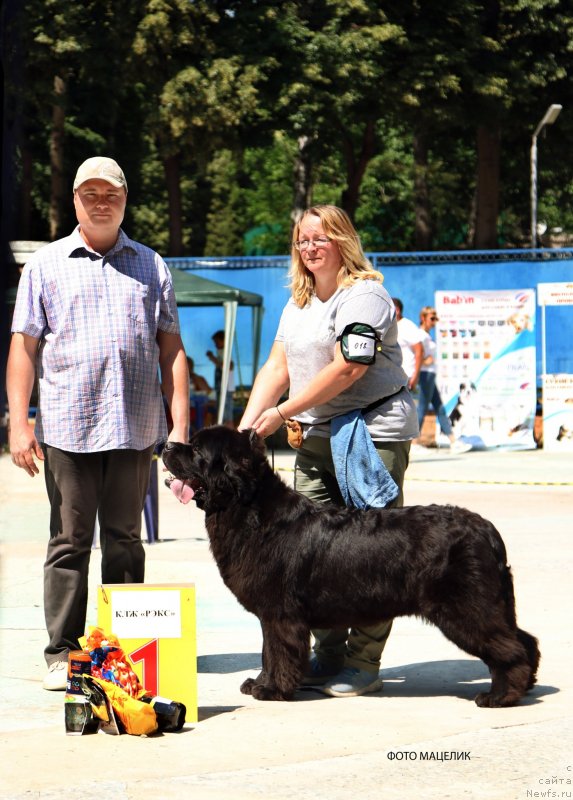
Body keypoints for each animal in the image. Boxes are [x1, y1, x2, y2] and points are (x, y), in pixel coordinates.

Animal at [163, 424, 540, 708]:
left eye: (196, 449)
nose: (166, 445)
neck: (250, 508)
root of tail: (487, 530)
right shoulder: (272, 616)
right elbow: (268, 651)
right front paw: (260, 683)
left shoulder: (280, 614)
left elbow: (278, 651)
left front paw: (271, 690)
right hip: (491, 603)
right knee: (524, 639)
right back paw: (526, 685)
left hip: (467, 608)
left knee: (509, 648)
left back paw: (500, 696)